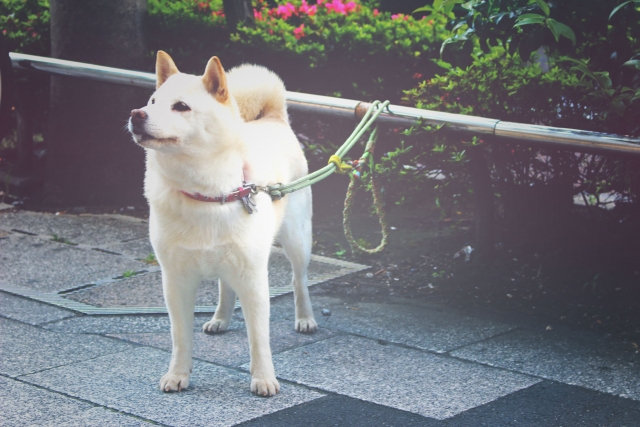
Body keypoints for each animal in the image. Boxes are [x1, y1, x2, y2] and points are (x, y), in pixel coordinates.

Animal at [126, 51, 316, 396]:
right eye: (152, 101)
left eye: (181, 106)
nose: (137, 114)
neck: (205, 194)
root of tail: (272, 119)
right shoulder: (175, 280)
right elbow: (180, 337)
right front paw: (178, 375)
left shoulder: (254, 278)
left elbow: (259, 339)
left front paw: (263, 378)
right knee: (226, 286)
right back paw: (220, 319)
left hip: (297, 239)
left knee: (299, 280)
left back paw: (305, 318)